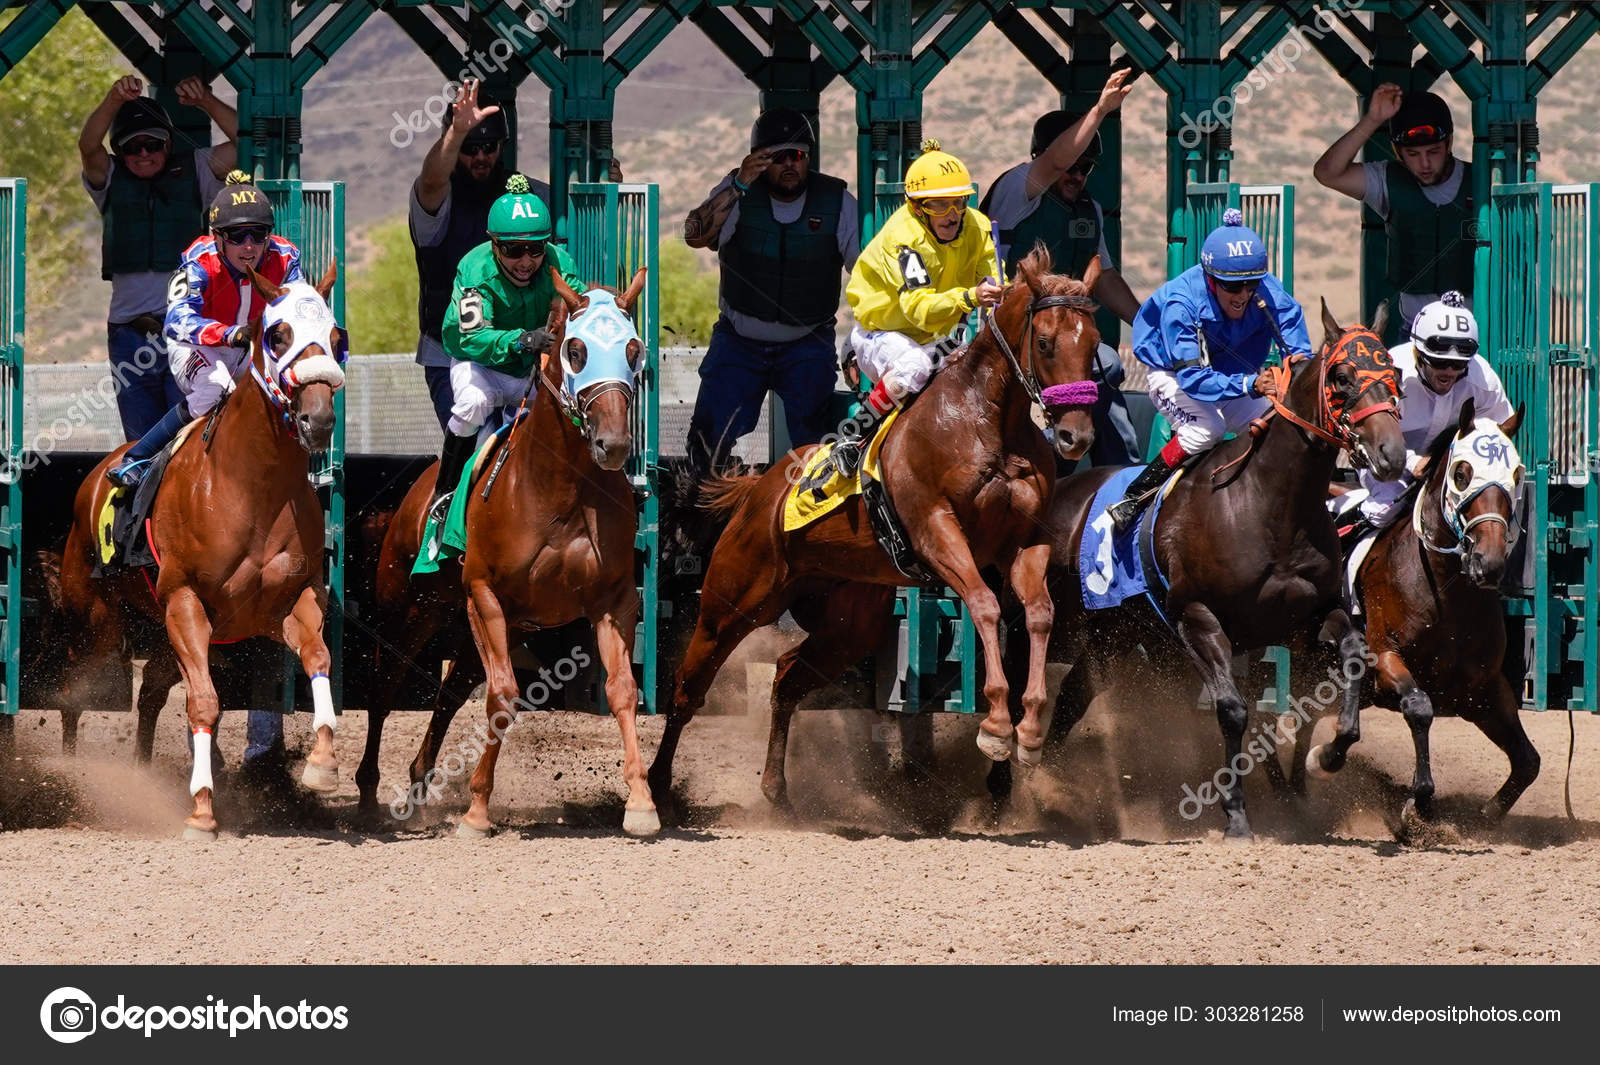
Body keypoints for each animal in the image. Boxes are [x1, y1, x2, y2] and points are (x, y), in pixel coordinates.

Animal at [60, 265, 345, 837]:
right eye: (277, 335)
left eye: (336, 337)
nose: (319, 419)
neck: (252, 486)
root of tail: (99, 470)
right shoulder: (186, 601)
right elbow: (204, 704)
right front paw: (201, 808)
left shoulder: (287, 603)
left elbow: (318, 656)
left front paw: (323, 764)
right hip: (97, 618)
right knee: (75, 693)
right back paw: (72, 770)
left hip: (167, 631)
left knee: (150, 693)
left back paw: (144, 771)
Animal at [355, 263, 649, 831]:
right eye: (575, 349)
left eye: (633, 349)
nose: (613, 444)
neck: (562, 488)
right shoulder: (485, 593)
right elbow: (504, 698)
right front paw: (476, 809)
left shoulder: (614, 600)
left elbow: (623, 689)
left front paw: (642, 803)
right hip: (409, 609)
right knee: (383, 687)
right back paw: (365, 794)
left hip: (468, 627)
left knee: (448, 695)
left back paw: (419, 781)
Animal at [643, 246, 1107, 805]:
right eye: (1044, 342)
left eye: (1095, 344)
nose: (1076, 436)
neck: (987, 421)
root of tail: (758, 489)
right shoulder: (937, 532)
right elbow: (985, 606)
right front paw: (996, 725)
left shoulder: (1023, 542)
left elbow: (1038, 613)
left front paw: (1031, 729)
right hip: (732, 600)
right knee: (688, 688)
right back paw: (654, 788)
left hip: (849, 621)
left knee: (786, 677)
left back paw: (775, 787)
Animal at [1004, 300, 1408, 837]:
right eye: (1342, 376)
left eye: (1396, 373)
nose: (1392, 455)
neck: (1268, 504)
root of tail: (1059, 494)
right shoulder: (1197, 618)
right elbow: (1233, 710)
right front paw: (1235, 813)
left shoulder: (1308, 617)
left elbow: (1354, 655)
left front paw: (1329, 755)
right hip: (1059, 620)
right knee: (1015, 670)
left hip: (1115, 637)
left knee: (1072, 697)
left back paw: (1043, 781)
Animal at [1305, 393, 1542, 815]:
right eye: (1462, 473)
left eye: (1516, 475)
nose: (1490, 562)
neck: (1445, 594)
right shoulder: (1385, 658)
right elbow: (1419, 707)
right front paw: (1419, 803)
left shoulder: (1483, 688)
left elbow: (1528, 761)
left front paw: (1487, 814)